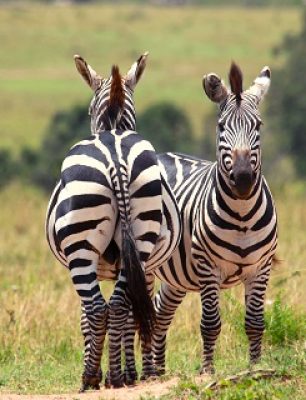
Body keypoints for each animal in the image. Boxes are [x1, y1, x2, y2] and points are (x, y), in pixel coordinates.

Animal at [45, 54, 182, 390]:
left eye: (87, 111)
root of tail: (115, 153)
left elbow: (85, 318)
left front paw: (114, 371)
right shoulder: (142, 265)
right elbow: (134, 313)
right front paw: (133, 372)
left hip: (81, 246)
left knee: (97, 308)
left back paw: (90, 377)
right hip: (142, 236)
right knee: (120, 305)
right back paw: (119, 376)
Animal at [152, 62, 278, 376]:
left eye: (258, 125)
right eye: (221, 127)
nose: (243, 178)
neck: (242, 215)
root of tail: (160, 154)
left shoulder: (261, 267)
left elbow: (255, 323)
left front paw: (256, 368)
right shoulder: (208, 267)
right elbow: (210, 324)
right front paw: (207, 371)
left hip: (177, 275)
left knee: (160, 312)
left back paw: (156, 371)